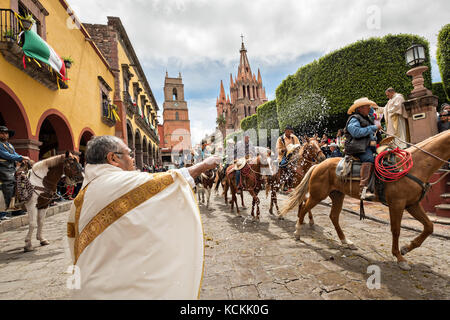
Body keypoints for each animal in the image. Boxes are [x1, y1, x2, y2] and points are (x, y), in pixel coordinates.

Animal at [282, 130, 450, 270]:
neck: (414, 165)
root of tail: (318, 165)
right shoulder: (397, 204)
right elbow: (396, 230)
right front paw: (399, 257)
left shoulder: (412, 204)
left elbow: (429, 227)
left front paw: (406, 248)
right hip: (318, 195)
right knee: (304, 208)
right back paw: (297, 232)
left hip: (337, 195)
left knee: (333, 216)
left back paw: (346, 242)